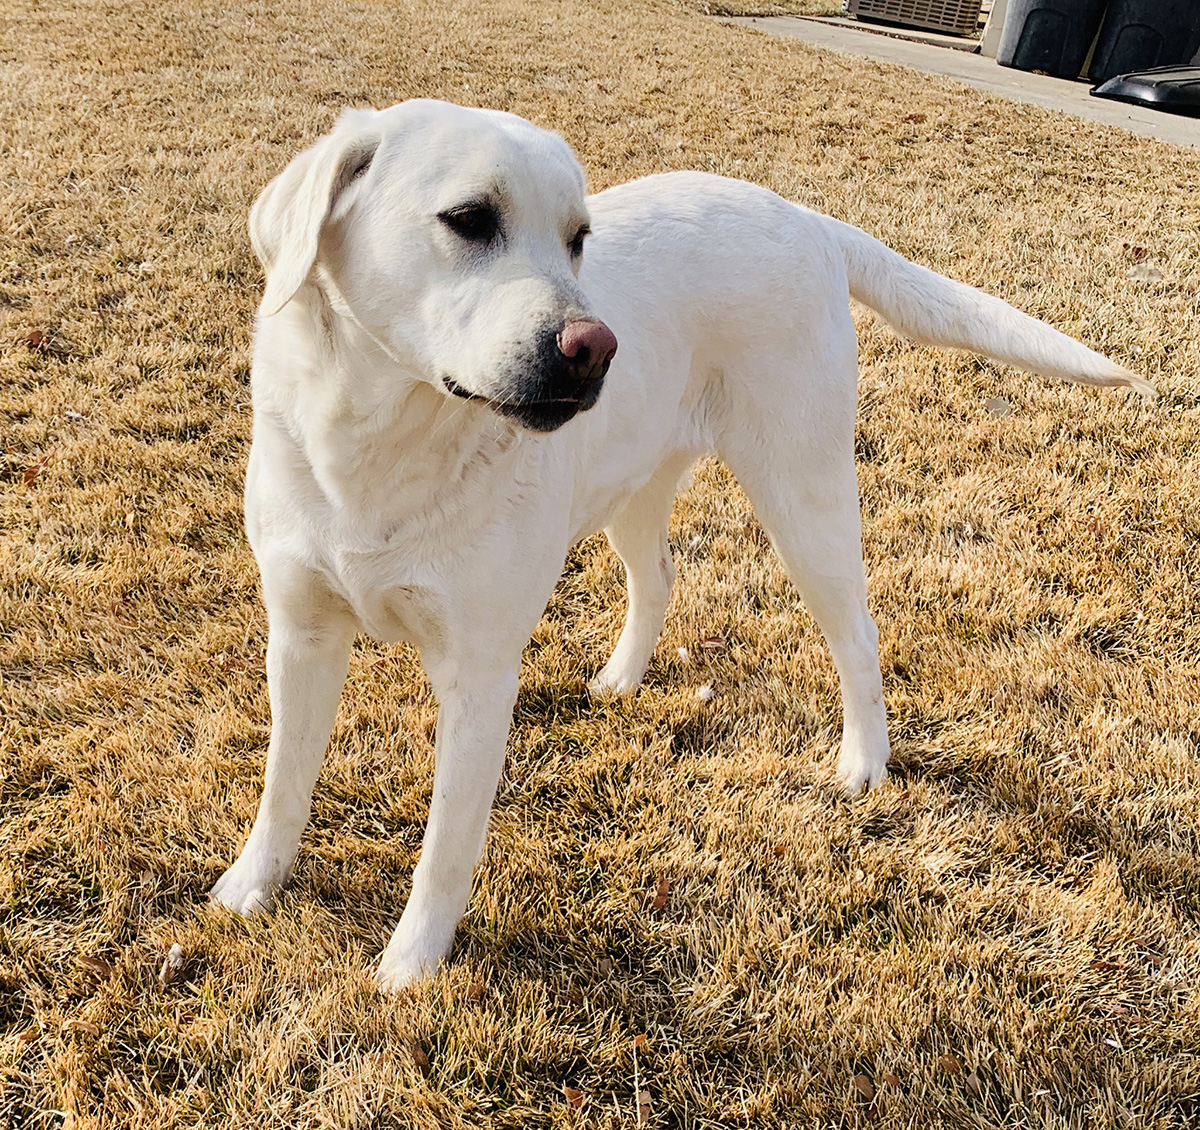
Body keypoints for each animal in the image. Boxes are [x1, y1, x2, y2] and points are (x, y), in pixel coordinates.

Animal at [211, 99, 1156, 988]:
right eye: (471, 219)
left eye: (578, 239)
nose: (595, 349)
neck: (378, 444)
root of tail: (806, 217)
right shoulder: (301, 635)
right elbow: (283, 784)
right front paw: (252, 886)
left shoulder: (478, 677)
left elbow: (446, 848)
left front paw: (412, 965)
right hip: (637, 488)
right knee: (660, 578)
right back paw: (623, 679)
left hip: (803, 494)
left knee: (857, 633)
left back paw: (863, 761)